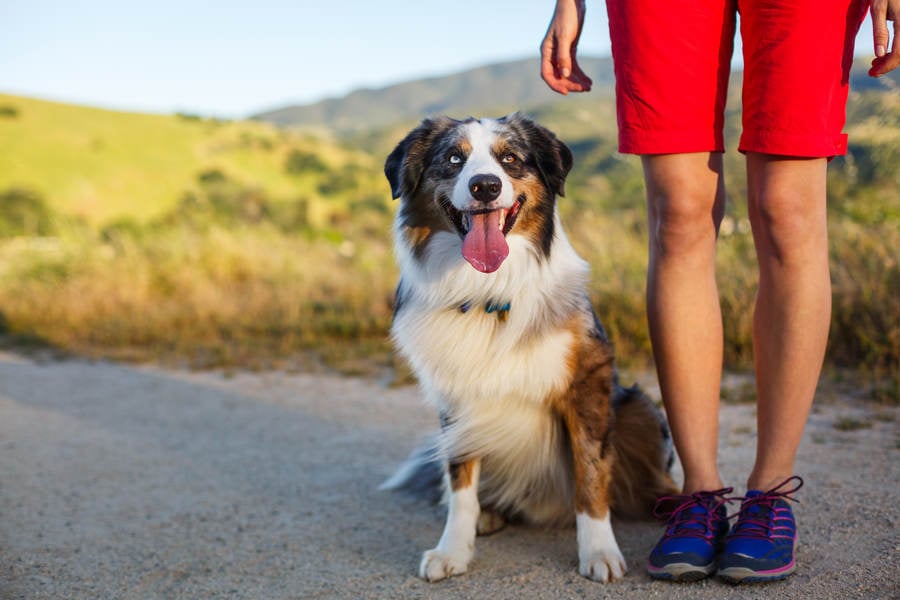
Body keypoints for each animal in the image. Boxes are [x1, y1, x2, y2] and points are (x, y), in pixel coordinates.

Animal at [380, 115, 676, 584]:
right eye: (453, 158)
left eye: (510, 159)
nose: (485, 186)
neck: (488, 291)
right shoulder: (455, 396)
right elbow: (460, 483)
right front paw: (454, 549)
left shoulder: (587, 382)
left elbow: (591, 474)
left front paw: (599, 551)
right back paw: (489, 515)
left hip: (639, 409)